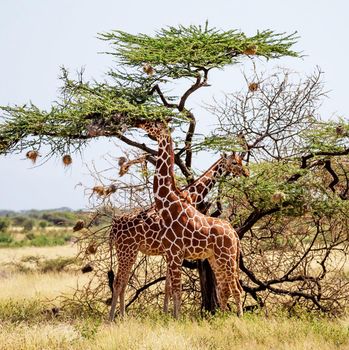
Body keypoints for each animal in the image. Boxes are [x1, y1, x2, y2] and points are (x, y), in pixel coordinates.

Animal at [109, 150, 247, 320]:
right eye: (235, 162)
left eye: (241, 161)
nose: (245, 172)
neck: (191, 195)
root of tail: (113, 228)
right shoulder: (172, 250)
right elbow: (170, 285)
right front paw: (169, 314)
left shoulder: (170, 252)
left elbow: (168, 286)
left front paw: (166, 314)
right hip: (126, 250)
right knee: (118, 282)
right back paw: (113, 318)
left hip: (130, 252)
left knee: (123, 283)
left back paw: (122, 317)